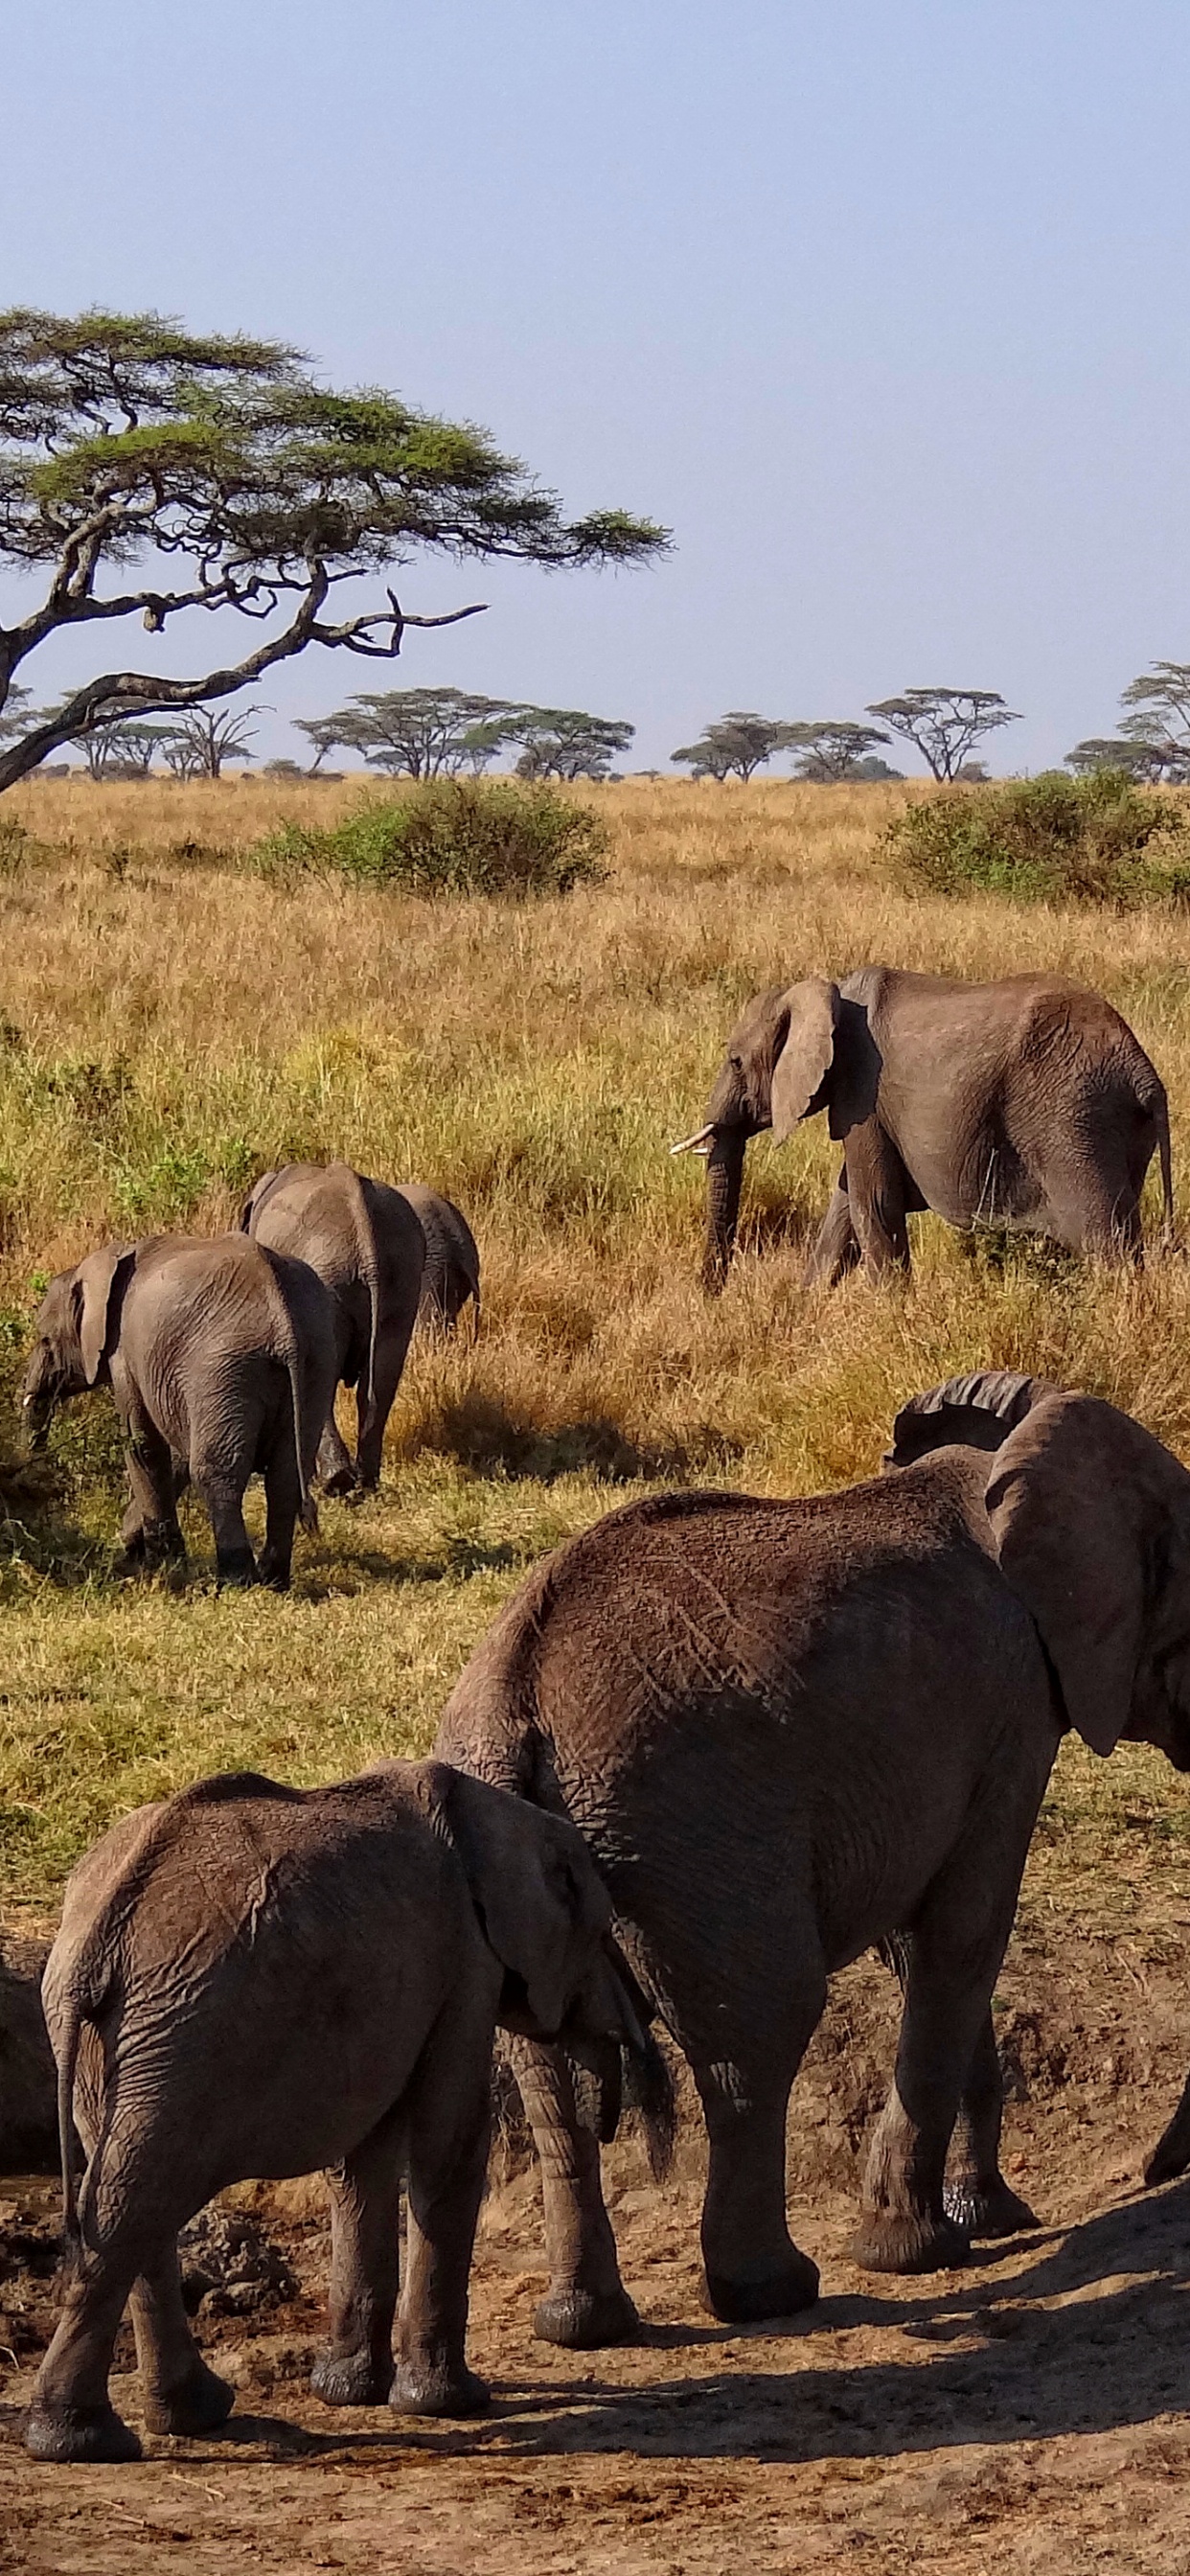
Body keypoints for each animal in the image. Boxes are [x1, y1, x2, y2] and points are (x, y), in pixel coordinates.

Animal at [21, 1234, 342, 1587]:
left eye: (45, 1340)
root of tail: (283, 1321)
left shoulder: (125, 1354)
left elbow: (144, 1444)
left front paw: (159, 1563)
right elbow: (176, 1454)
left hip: (222, 1369)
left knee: (217, 1472)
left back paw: (236, 1580)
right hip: (317, 1360)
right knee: (285, 1475)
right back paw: (273, 1580)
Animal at [26, 1757, 663, 2464]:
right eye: (600, 1933)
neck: (503, 1815)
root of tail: (96, 1940)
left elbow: (362, 2163)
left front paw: (349, 2392)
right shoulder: (466, 1960)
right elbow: (446, 2144)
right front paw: (449, 2404)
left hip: (117, 2040)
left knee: (129, 2199)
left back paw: (183, 2417)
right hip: (185, 2029)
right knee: (135, 2200)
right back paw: (84, 2441)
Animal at [435, 1388, 1190, 2343]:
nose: (1156, 2173)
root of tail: (512, 1701)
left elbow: (922, 1943)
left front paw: (989, 2218)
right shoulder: (1015, 1707)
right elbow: (965, 1933)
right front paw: (920, 2250)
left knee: (547, 2070)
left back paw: (582, 2323)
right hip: (699, 1829)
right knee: (757, 2032)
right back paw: (773, 2292)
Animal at [672, 967, 1173, 1289]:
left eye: (735, 1061)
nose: (712, 1296)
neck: (827, 991)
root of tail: (1142, 1072)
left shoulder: (864, 1092)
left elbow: (873, 1205)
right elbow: (845, 1207)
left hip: (1071, 1120)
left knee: (1105, 1239)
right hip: (1113, 1126)